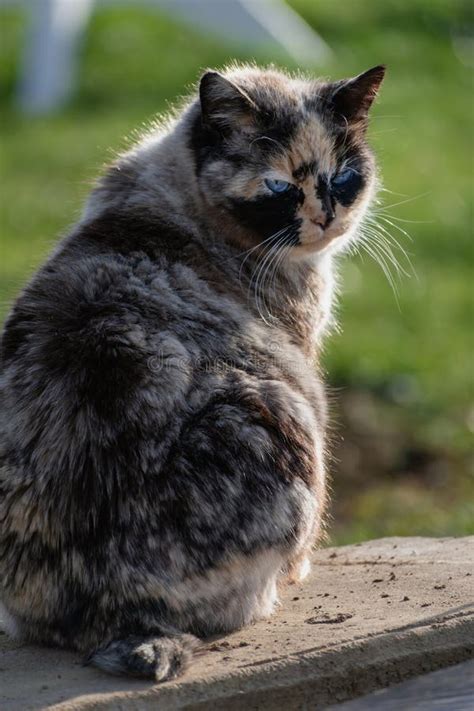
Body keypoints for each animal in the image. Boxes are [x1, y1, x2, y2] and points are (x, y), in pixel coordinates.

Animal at [0, 64, 386, 680]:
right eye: (280, 186)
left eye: (344, 177)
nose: (326, 216)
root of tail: (117, 618)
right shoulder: (305, 364)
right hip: (276, 415)